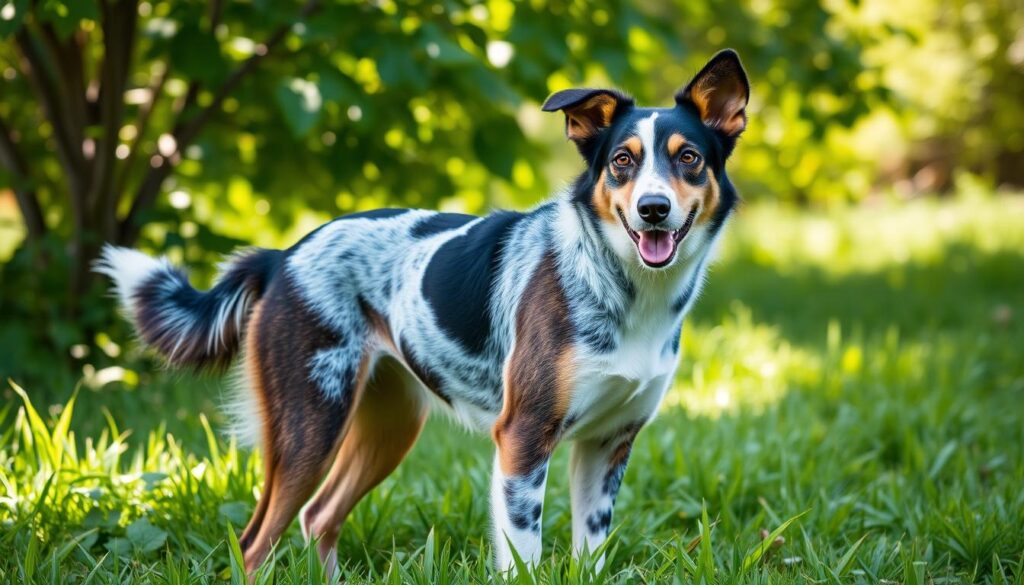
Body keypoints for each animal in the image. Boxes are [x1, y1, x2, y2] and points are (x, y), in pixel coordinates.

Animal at [96, 49, 749, 577]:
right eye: (622, 162)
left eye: (689, 157)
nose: (653, 209)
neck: (628, 290)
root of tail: (282, 256)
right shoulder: (522, 439)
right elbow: (523, 554)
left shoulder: (607, 445)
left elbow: (591, 551)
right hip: (310, 425)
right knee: (256, 543)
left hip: (389, 427)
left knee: (318, 517)